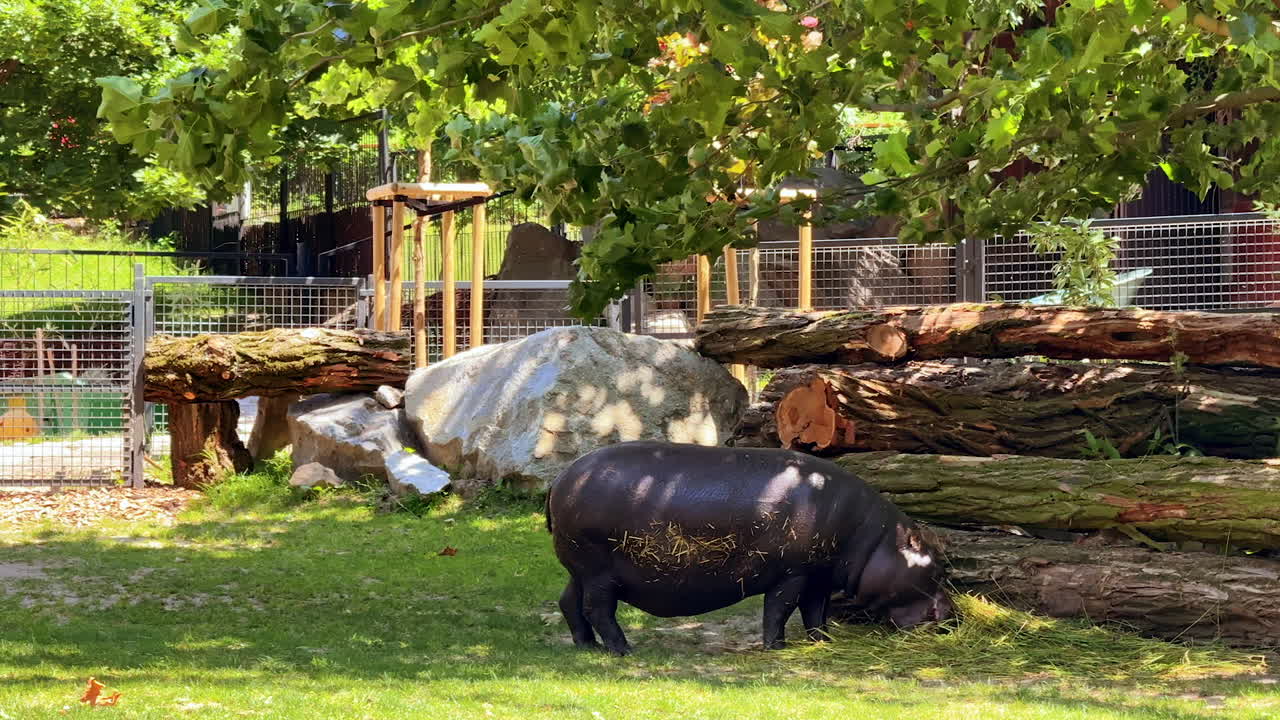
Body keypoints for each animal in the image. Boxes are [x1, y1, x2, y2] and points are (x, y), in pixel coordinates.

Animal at [545, 441, 953, 656]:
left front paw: (823, 642)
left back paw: (587, 646)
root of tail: (562, 476)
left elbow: (815, 612)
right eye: (938, 567)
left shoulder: (818, 576)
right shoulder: (792, 574)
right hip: (598, 572)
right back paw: (623, 649)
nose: (953, 618)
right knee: (598, 609)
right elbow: (779, 609)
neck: (875, 540)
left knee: (569, 601)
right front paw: (777, 648)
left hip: (580, 569)